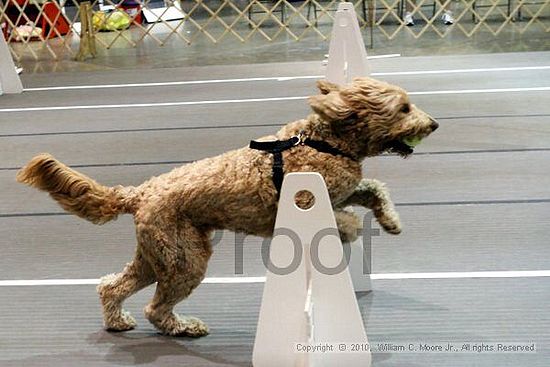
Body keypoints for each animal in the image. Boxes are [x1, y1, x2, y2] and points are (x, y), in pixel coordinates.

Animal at [16, 76, 440, 338]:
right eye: (404, 108)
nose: (434, 124)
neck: (325, 140)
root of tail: (141, 192)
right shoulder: (309, 199)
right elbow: (343, 216)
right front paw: (351, 229)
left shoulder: (344, 187)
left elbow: (372, 188)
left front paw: (391, 220)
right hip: (184, 259)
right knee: (156, 308)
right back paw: (184, 327)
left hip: (156, 256)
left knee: (111, 286)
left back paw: (117, 321)